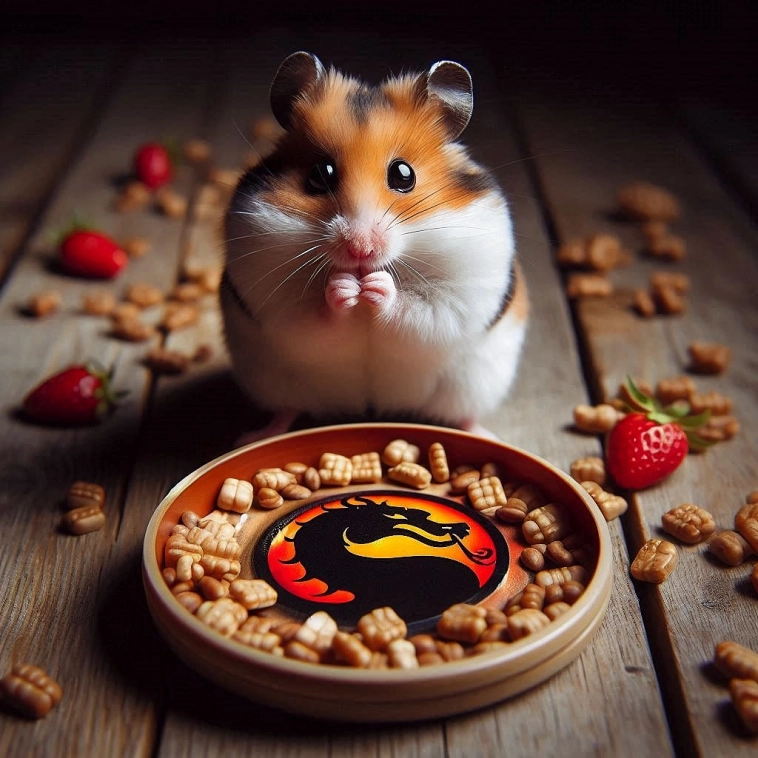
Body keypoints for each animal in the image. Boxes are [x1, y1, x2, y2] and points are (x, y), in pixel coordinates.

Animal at [222, 51, 528, 438]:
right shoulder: (270, 294)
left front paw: (376, 286)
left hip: (474, 382)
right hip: (272, 379)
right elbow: (309, 318)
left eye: (404, 174)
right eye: (320, 175)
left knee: (464, 413)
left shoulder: (462, 293)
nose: (360, 250)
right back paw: (254, 436)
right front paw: (343, 287)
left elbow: (423, 310)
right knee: (286, 410)